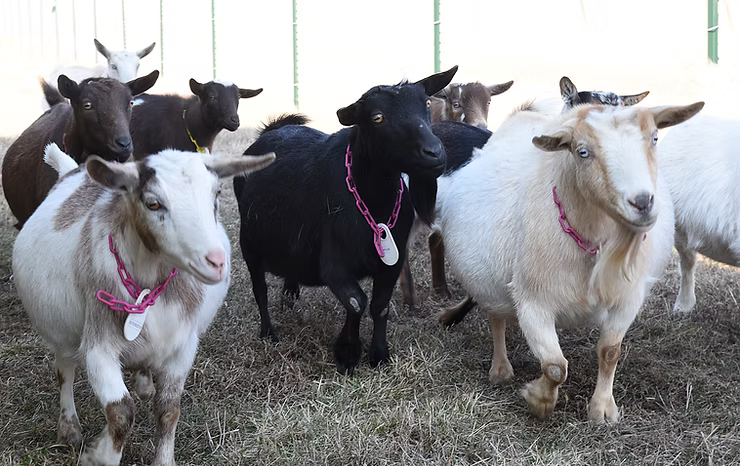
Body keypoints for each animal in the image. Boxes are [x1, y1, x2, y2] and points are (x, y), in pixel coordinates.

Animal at [12, 143, 274, 465]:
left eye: (217, 194)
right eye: (153, 204)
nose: (216, 262)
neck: (150, 287)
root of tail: (71, 169)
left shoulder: (183, 346)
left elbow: (168, 409)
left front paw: (163, 459)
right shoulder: (98, 346)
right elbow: (121, 411)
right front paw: (99, 455)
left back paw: (144, 383)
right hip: (61, 328)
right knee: (64, 370)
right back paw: (69, 429)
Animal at [234, 66, 458, 375]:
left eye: (426, 103)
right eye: (377, 117)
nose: (434, 153)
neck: (374, 205)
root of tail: (273, 129)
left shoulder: (392, 264)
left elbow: (380, 306)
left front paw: (379, 355)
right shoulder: (334, 266)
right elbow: (356, 303)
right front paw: (347, 354)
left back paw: (290, 296)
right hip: (249, 243)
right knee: (260, 289)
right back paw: (268, 332)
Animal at [433, 101, 703, 422]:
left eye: (655, 138)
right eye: (582, 151)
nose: (642, 203)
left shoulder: (627, 299)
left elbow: (609, 352)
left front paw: (602, 409)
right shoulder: (532, 302)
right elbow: (555, 366)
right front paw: (538, 400)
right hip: (489, 283)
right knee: (496, 319)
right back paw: (500, 369)